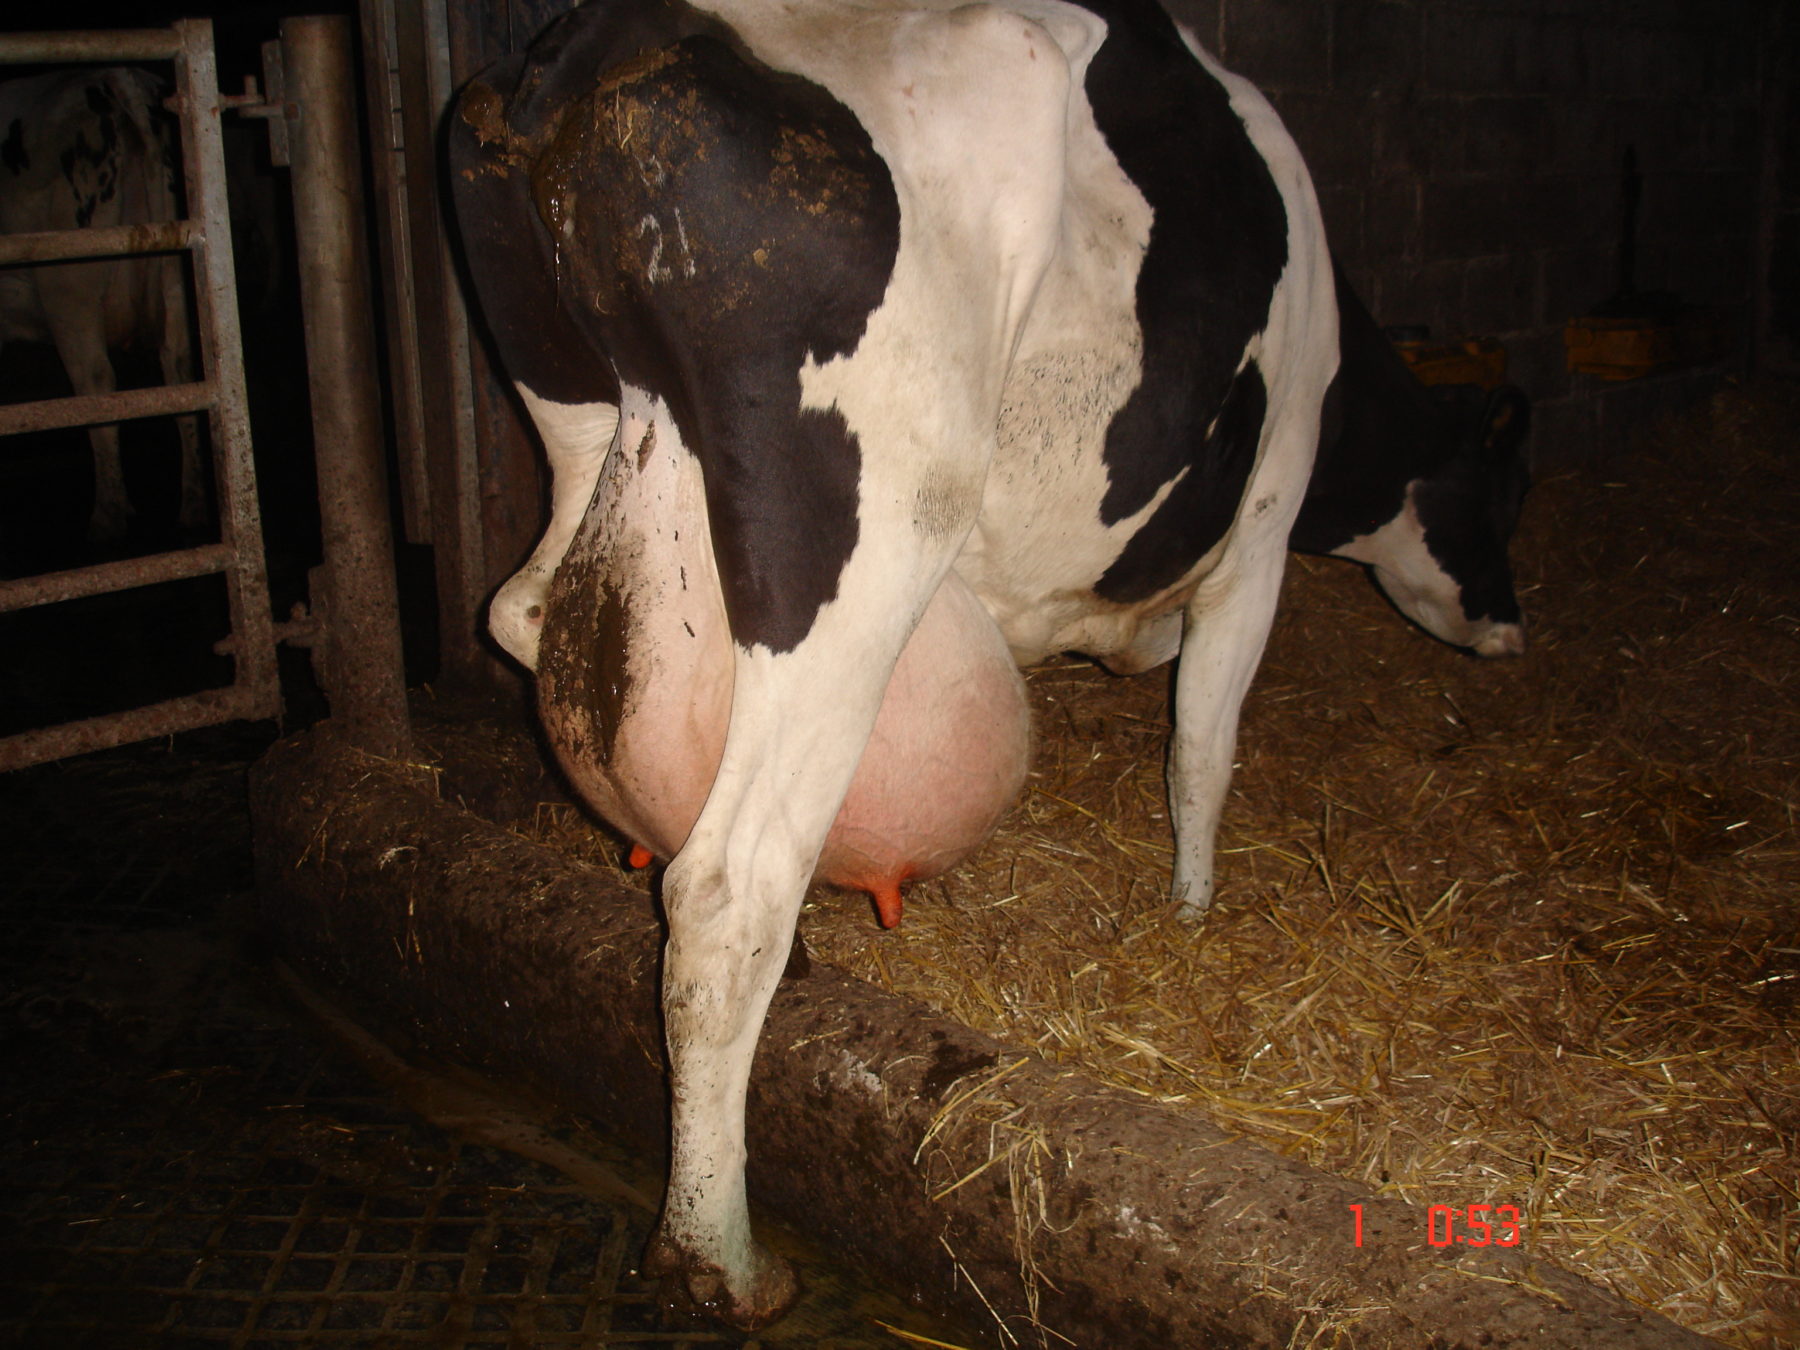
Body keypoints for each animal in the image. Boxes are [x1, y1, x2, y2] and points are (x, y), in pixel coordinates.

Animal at [0, 67, 202, 542]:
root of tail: (112, 77)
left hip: (68, 287)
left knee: (95, 384)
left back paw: (108, 516)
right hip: (174, 277)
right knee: (181, 373)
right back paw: (193, 505)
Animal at [449, 0, 1526, 1327]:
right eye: (1498, 498)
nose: (1513, 628)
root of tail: (582, 52)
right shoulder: (1262, 533)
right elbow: (1204, 745)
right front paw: (1191, 911)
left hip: (584, 432)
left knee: (529, 615)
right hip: (861, 550)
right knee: (727, 886)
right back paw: (719, 1255)